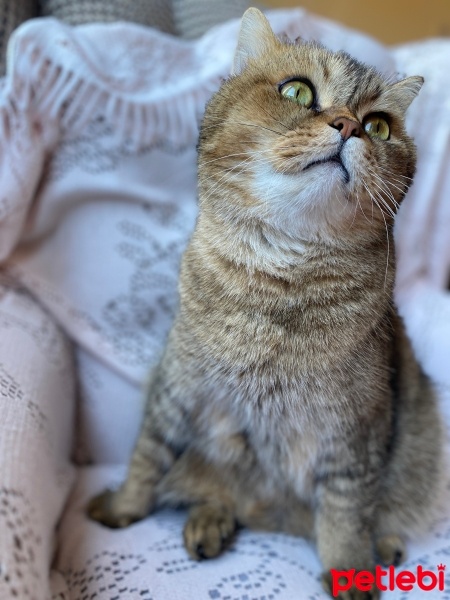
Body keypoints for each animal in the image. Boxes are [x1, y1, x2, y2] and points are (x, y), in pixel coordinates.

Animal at [88, 7, 442, 596]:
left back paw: (383, 545)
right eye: (298, 92)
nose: (349, 126)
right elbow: (146, 457)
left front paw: (349, 571)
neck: (281, 281)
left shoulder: (354, 431)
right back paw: (209, 519)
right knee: (218, 491)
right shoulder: (177, 386)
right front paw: (122, 508)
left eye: (378, 126)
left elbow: (346, 513)